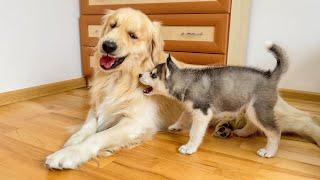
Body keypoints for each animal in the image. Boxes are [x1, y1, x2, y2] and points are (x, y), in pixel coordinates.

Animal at [139, 42, 288, 158]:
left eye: (153, 75)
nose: (139, 74)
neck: (187, 82)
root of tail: (270, 76)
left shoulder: (202, 113)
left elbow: (195, 132)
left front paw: (189, 148)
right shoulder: (192, 108)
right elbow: (183, 116)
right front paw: (176, 126)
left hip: (258, 109)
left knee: (275, 131)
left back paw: (269, 152)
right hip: (250, 109)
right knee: (253, 124)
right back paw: (242, 132)